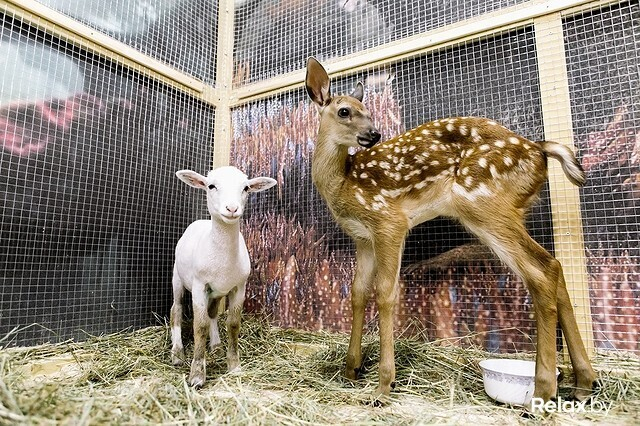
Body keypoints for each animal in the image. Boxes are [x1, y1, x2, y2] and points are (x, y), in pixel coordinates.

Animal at [170, 166, 277, 387]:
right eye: (211, 186)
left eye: (246, 188)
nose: (232, 208)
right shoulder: (199, 285)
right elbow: (200, 326)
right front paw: (197, 374)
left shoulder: (239, 287)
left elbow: (233, 324)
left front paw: (234, 366)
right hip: (177, 277)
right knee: (176, 309)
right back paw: (177, 353)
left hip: (216, 292)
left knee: (212, 314)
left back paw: (216, 346)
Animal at [305, 57, 596, 405]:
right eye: (345, 111)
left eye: (369, 111)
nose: (374, 134)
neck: (343, 183)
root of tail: (539, 149)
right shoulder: (362, 238)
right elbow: (358, 293)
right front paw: (351, 369)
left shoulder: (388, 220)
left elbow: (386, 293)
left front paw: (383, 386)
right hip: (504, 211)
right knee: (554, 266)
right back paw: (583, 384)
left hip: (484, 204)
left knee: (541, 271)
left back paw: (542, 390)